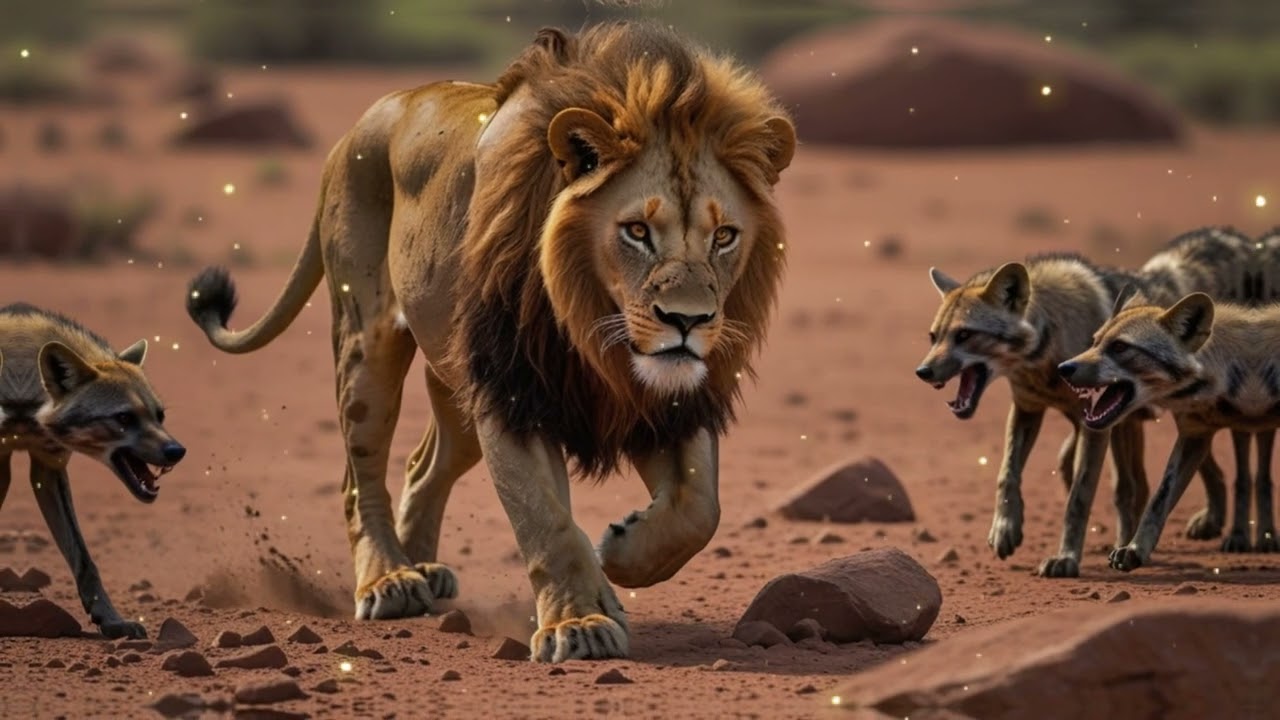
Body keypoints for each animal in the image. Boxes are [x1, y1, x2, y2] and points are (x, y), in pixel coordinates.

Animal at [184, 21, 796, 662]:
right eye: (636, 231)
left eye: (724, 236)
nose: (688, 320)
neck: (593, 330)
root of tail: (359, 126)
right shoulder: (513, 394)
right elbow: (546, 520)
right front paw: (579, 622)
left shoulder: (662, 403)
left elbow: (700, 507)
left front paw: (621, 552)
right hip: (366, 344)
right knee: (360, 476)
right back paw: (389, 581)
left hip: (455, 386)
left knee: (423, 466)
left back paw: (423, 568)